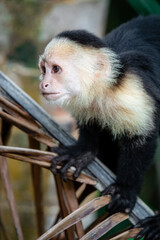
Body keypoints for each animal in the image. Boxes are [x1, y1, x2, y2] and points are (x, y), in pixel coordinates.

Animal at [39, 15, 160, 240]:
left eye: (56, 69)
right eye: (44, 69)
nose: (43, 84)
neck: (103, 89)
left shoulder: (132, 93)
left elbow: (142, 139)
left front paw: (125, 189)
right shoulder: (87, 103)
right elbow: (91, 126)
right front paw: (82, 154)